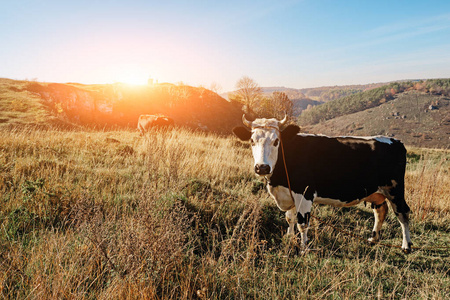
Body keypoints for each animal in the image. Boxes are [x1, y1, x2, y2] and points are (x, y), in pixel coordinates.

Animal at [234, 115, 414, 253]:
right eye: (252, 141)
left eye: (276, 141)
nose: (262, 167)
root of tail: (396, 141)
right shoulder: (289, 193)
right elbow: (289, 218)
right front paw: (289, 238)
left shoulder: (304, 193)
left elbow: (302, 224)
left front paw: (304, 248)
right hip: (377, 192)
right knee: (380, 211)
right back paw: (373, 238)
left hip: (395, 189)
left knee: (402, 213)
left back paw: (406, 246)